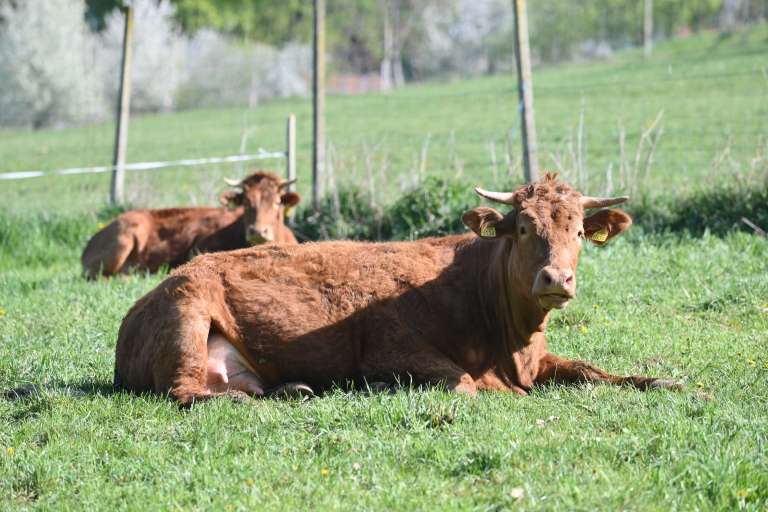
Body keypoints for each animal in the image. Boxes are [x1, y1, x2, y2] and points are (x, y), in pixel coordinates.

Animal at [112, 176, 680, 404]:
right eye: (522, 228)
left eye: (579, 232)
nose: (556, 278)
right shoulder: (391, 347)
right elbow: (469, 385)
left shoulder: (539, 359)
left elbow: (595, 372)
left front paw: (667, 381)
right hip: (187, 315)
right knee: (187, 392)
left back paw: (292, 390)